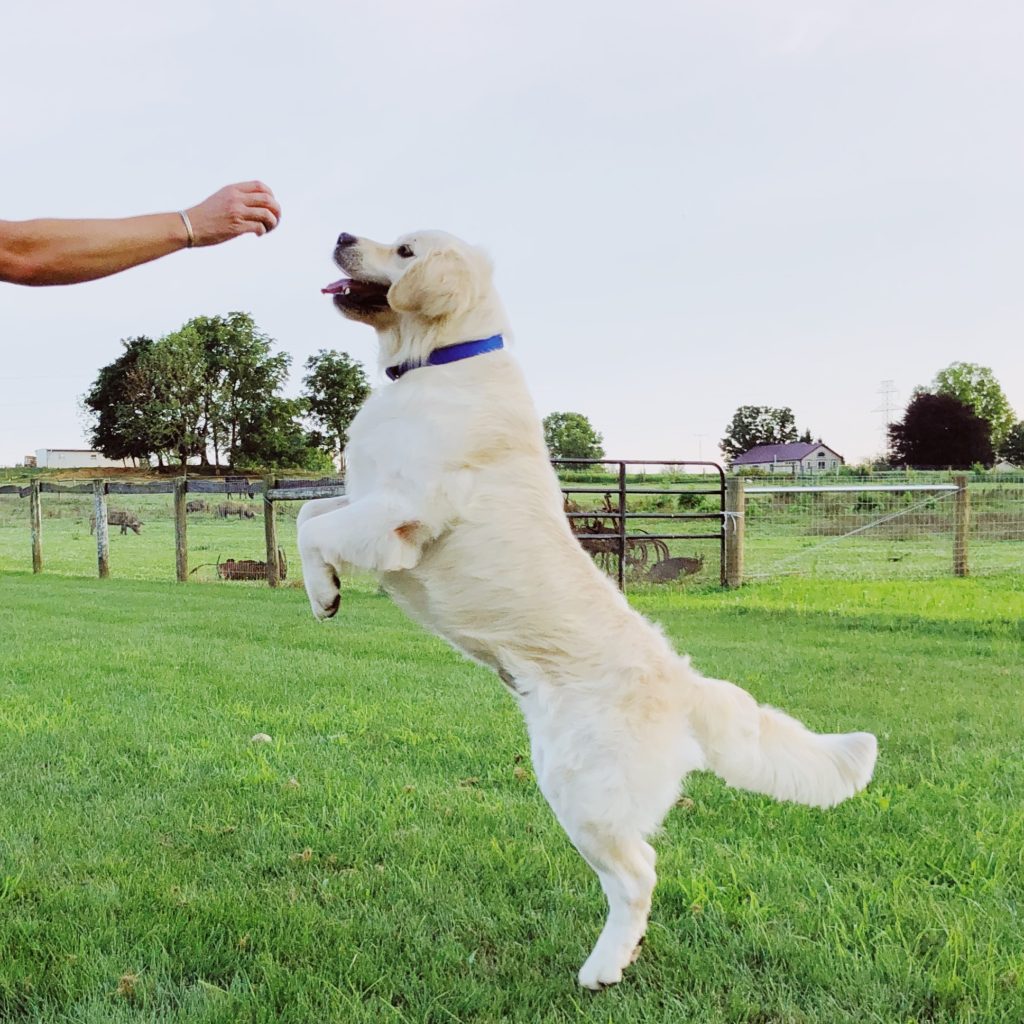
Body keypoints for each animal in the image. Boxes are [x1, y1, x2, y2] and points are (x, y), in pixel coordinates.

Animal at [299, 230, 880, 983]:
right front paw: (326, 591)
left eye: (403, 251)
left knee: (639, 875)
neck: (438, 363)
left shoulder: (402, 518)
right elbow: (309, 510)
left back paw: (603, 967)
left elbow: (309, 527)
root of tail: (685, 684)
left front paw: (323, 592)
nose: (341, 237)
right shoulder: (366, 504)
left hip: (583, 794)